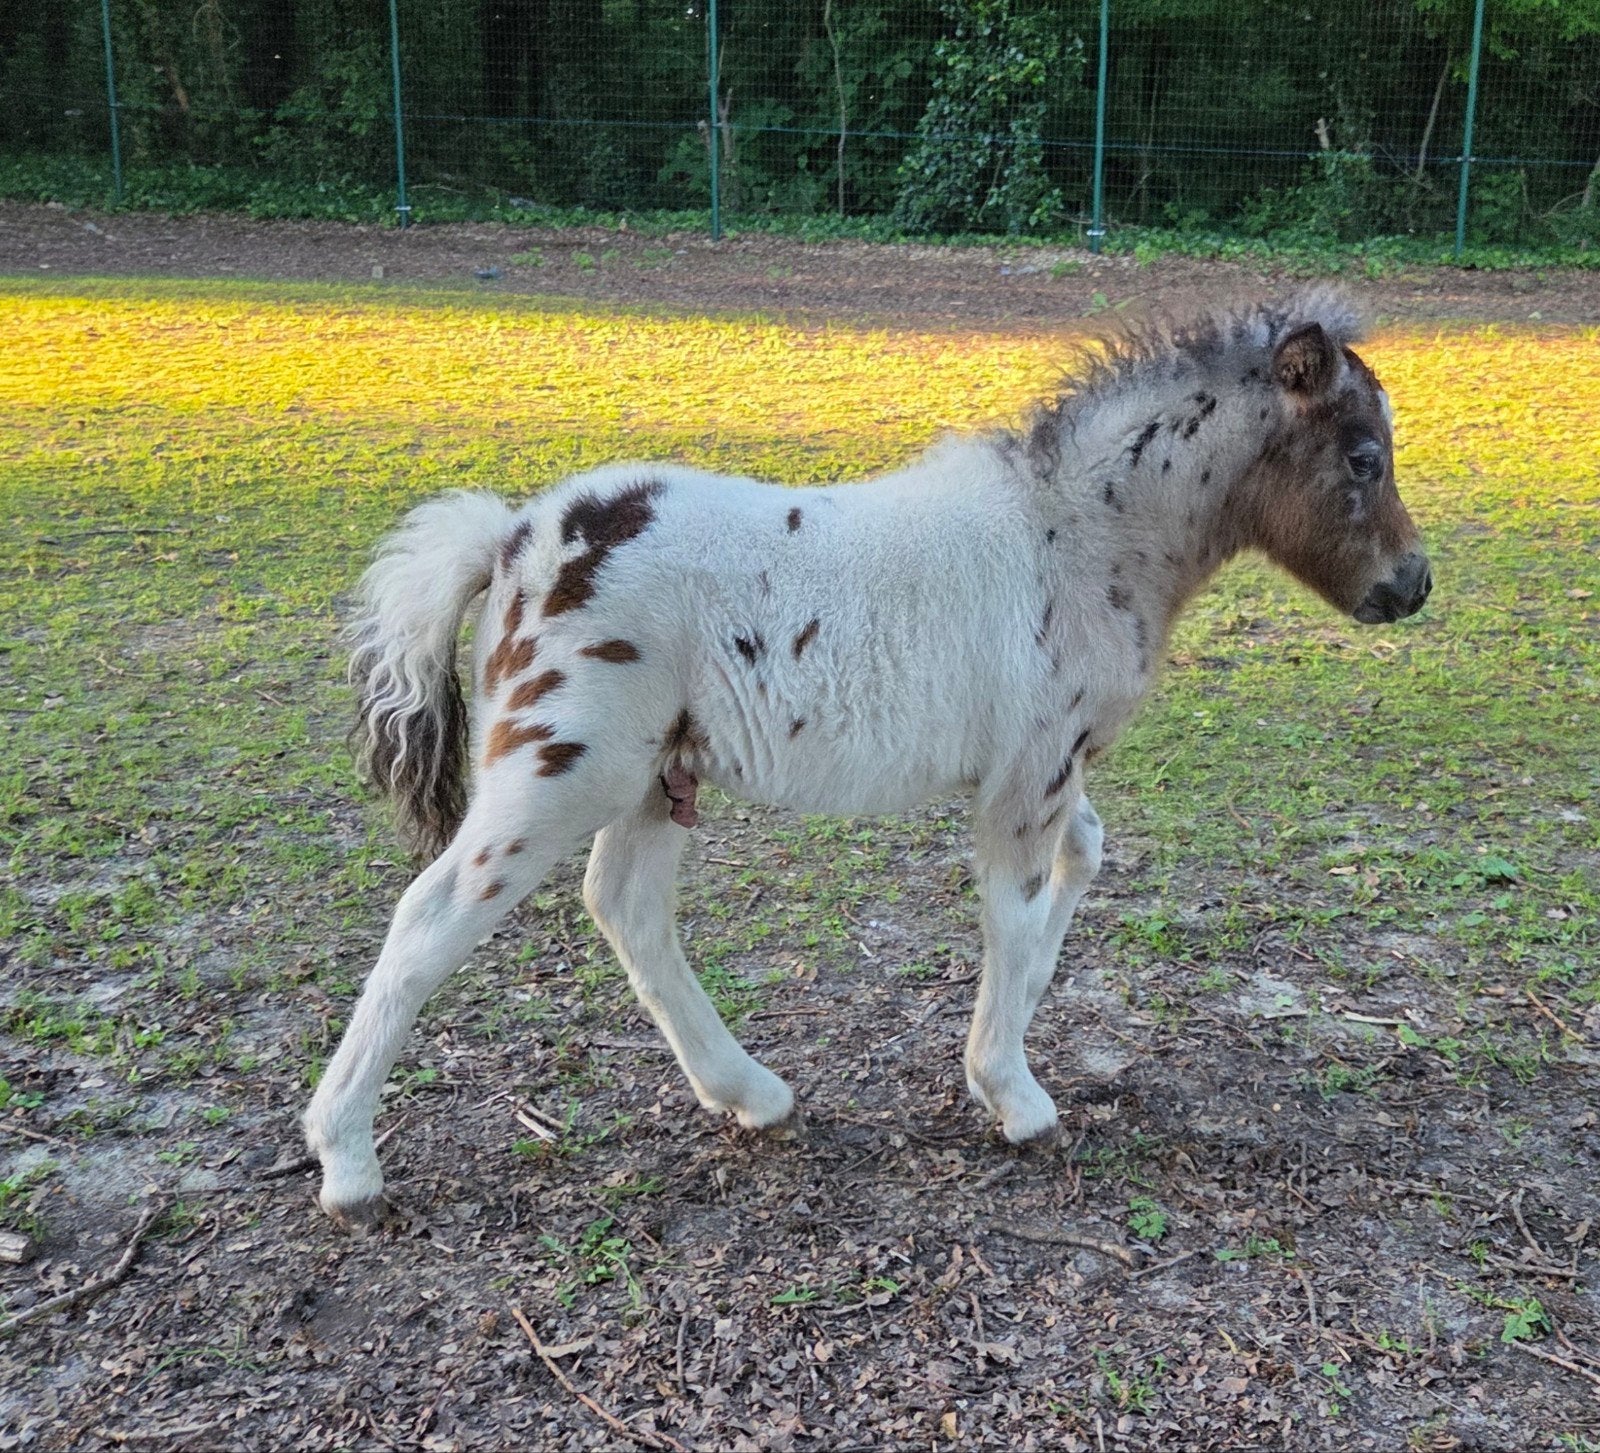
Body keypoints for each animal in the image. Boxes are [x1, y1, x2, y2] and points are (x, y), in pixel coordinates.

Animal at [303, 288, 1432, 1230]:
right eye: (1362, 457)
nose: (1412, 585)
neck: (1078, 537)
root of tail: (510, 538)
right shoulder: (1029, 776)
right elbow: (1016, 910)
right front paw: (1011, 1092)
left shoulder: (1052, 770)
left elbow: (1081, 863)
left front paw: (1008, 1043)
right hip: (557, 770)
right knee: (433, 914)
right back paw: (346, 1160)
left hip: (655, 780)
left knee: (627, 908)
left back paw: (752, 1094)